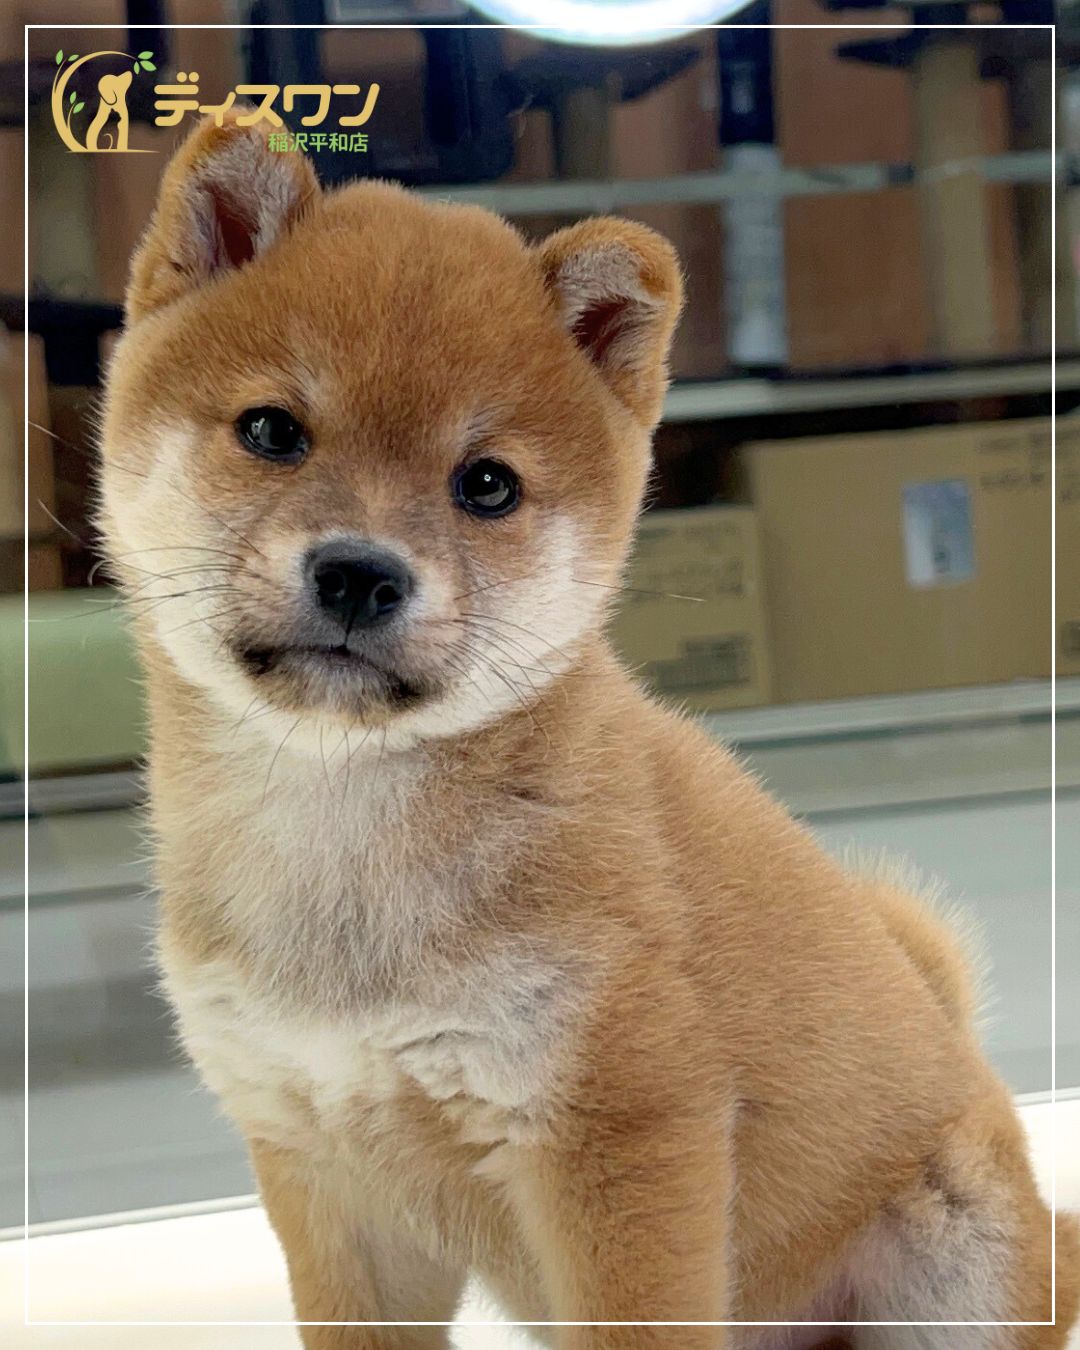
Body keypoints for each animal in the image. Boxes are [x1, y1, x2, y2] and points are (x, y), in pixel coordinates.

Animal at [98, 113, 1079, 1348]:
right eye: (272, 431)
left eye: (486, 486)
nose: (361, 572)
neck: (340, 843)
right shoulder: (326, 1173)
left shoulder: (621, 1135)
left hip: (960, 1259)